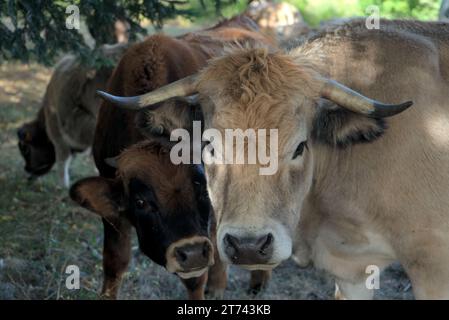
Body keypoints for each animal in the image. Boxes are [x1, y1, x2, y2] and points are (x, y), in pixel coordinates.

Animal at [72, 15, 272, 300]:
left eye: (201, 189)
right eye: (141, 201)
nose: (191, 252)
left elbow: (196, 279)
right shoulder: (111, 207)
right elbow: (114, 261)